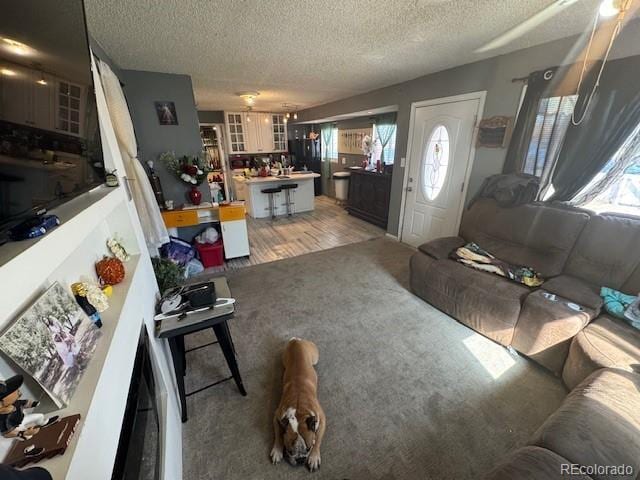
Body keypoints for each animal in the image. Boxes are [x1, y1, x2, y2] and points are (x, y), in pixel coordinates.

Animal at [268, 340, 324, 470]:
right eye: (290, 451)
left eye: (309, 448)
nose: (299, 460)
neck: (299, 410)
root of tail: (297, 340)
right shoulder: (277, 416)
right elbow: (278, 434)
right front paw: (277, 450)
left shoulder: (322, 419)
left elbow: (318, 439)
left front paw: (314, 457)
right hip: (284, 359)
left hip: (315, 357)